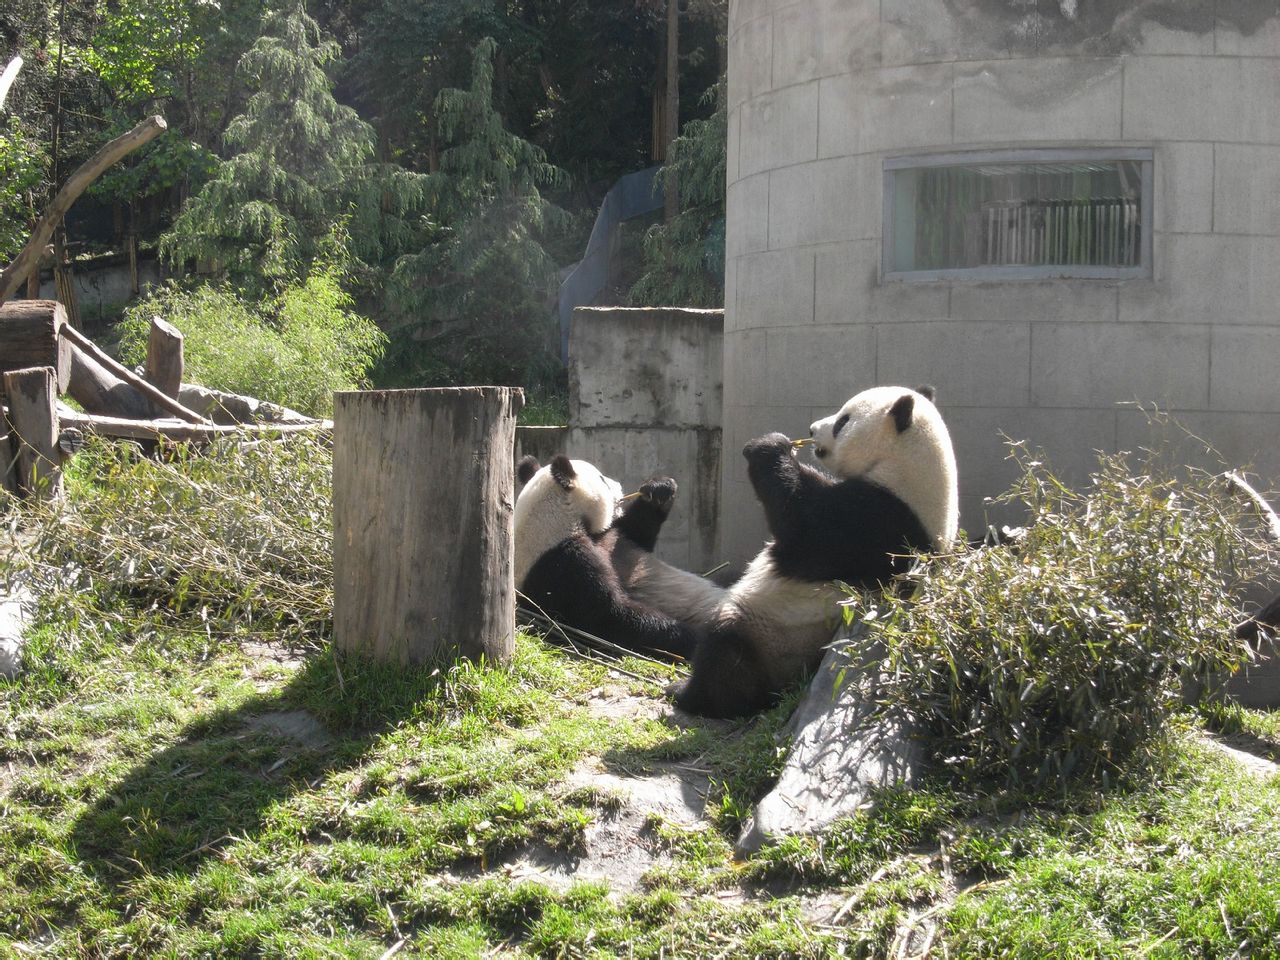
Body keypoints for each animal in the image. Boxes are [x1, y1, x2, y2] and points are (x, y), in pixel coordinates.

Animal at [514, 458, 706, 660]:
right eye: (602, 479)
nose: (618, 486)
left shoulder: (608, 538)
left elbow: (635, 534)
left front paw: (660, 489)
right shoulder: (560, 566)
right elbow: (608, 616)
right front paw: (694, 637)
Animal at [670, 386, 962, 716]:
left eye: (843, 421)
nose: (811, 430)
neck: (911, 470)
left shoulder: (884, 524)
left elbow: (805, 529)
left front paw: (769, 447)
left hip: (775, 635)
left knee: (725, 652)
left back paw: (690, 695)